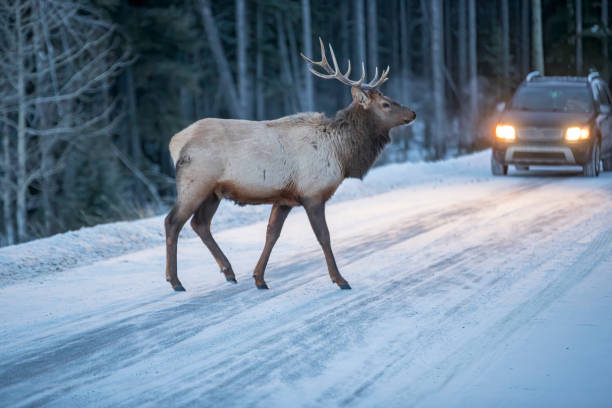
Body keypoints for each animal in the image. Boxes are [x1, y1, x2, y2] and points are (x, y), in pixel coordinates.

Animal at [165, 39, 418, 290]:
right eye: (385, 104)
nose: (413, 113)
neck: (342, 155)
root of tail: (174, 142)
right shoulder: (312, 194)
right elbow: (324, 237)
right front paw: (340, 279)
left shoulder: (284, 199)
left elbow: (272, 234)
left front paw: (259, 278)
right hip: (195, 183)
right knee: (173, 222)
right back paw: (175, 281)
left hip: (213, 192)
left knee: (200, 224)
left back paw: (228, 271)